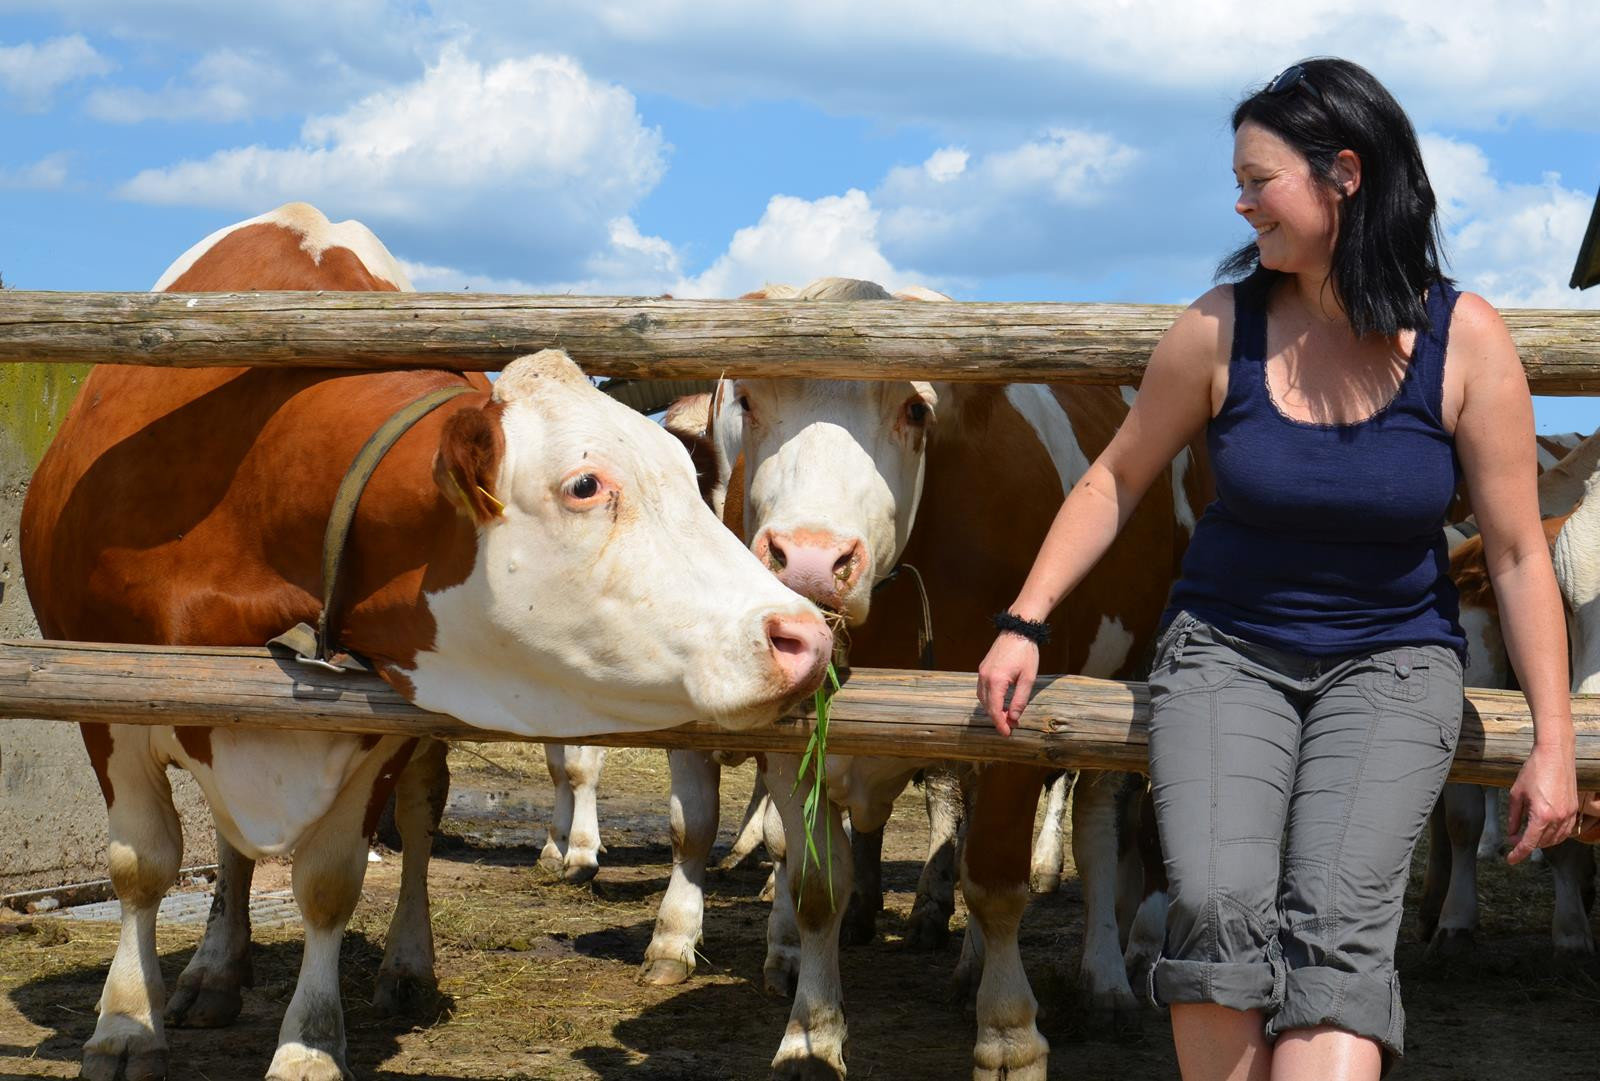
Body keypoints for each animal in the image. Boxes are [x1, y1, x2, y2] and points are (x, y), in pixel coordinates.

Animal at [18, 204, 832, 1081]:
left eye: (688, 479)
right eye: (585, 485)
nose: (805, 634)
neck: (255, 489)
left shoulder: (375, 723)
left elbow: (329, 884)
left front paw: (308, 1045)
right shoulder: (102, 697)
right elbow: (142, 866)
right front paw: (126, 1023)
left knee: (415, 818)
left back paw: (406, 965)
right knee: (233, 851)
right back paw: (214, 969)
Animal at [636, 278, 1209, 1081]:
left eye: (915, 409)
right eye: (749, 398)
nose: (809, 560)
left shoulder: (1016, 730)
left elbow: (997, 884)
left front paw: (1009, 1034)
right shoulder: (792, 745)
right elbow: (813, 882)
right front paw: (810, 1034)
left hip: (1116, 689)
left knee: (1100, 830)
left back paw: (1104, 979)